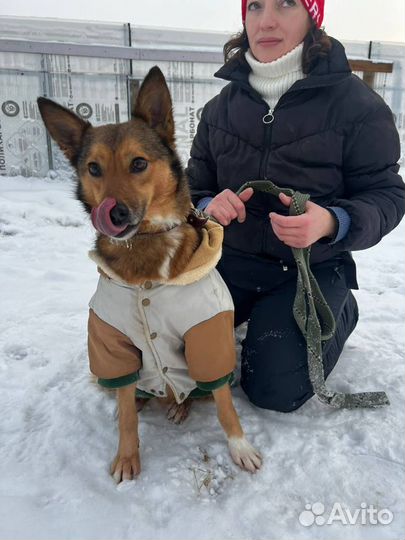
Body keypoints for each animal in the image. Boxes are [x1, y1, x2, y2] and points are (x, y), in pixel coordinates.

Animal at [36, 65, 260, 484]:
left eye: (138, 163)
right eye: (94, 168)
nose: (113, 213)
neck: (146, 248)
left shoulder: (207, 333)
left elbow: (224, 402)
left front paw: (239, 446)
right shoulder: (111, 340)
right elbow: (125, 415)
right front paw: (127, 455)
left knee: (194, 392)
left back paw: (180, 406)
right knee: (130, 394)